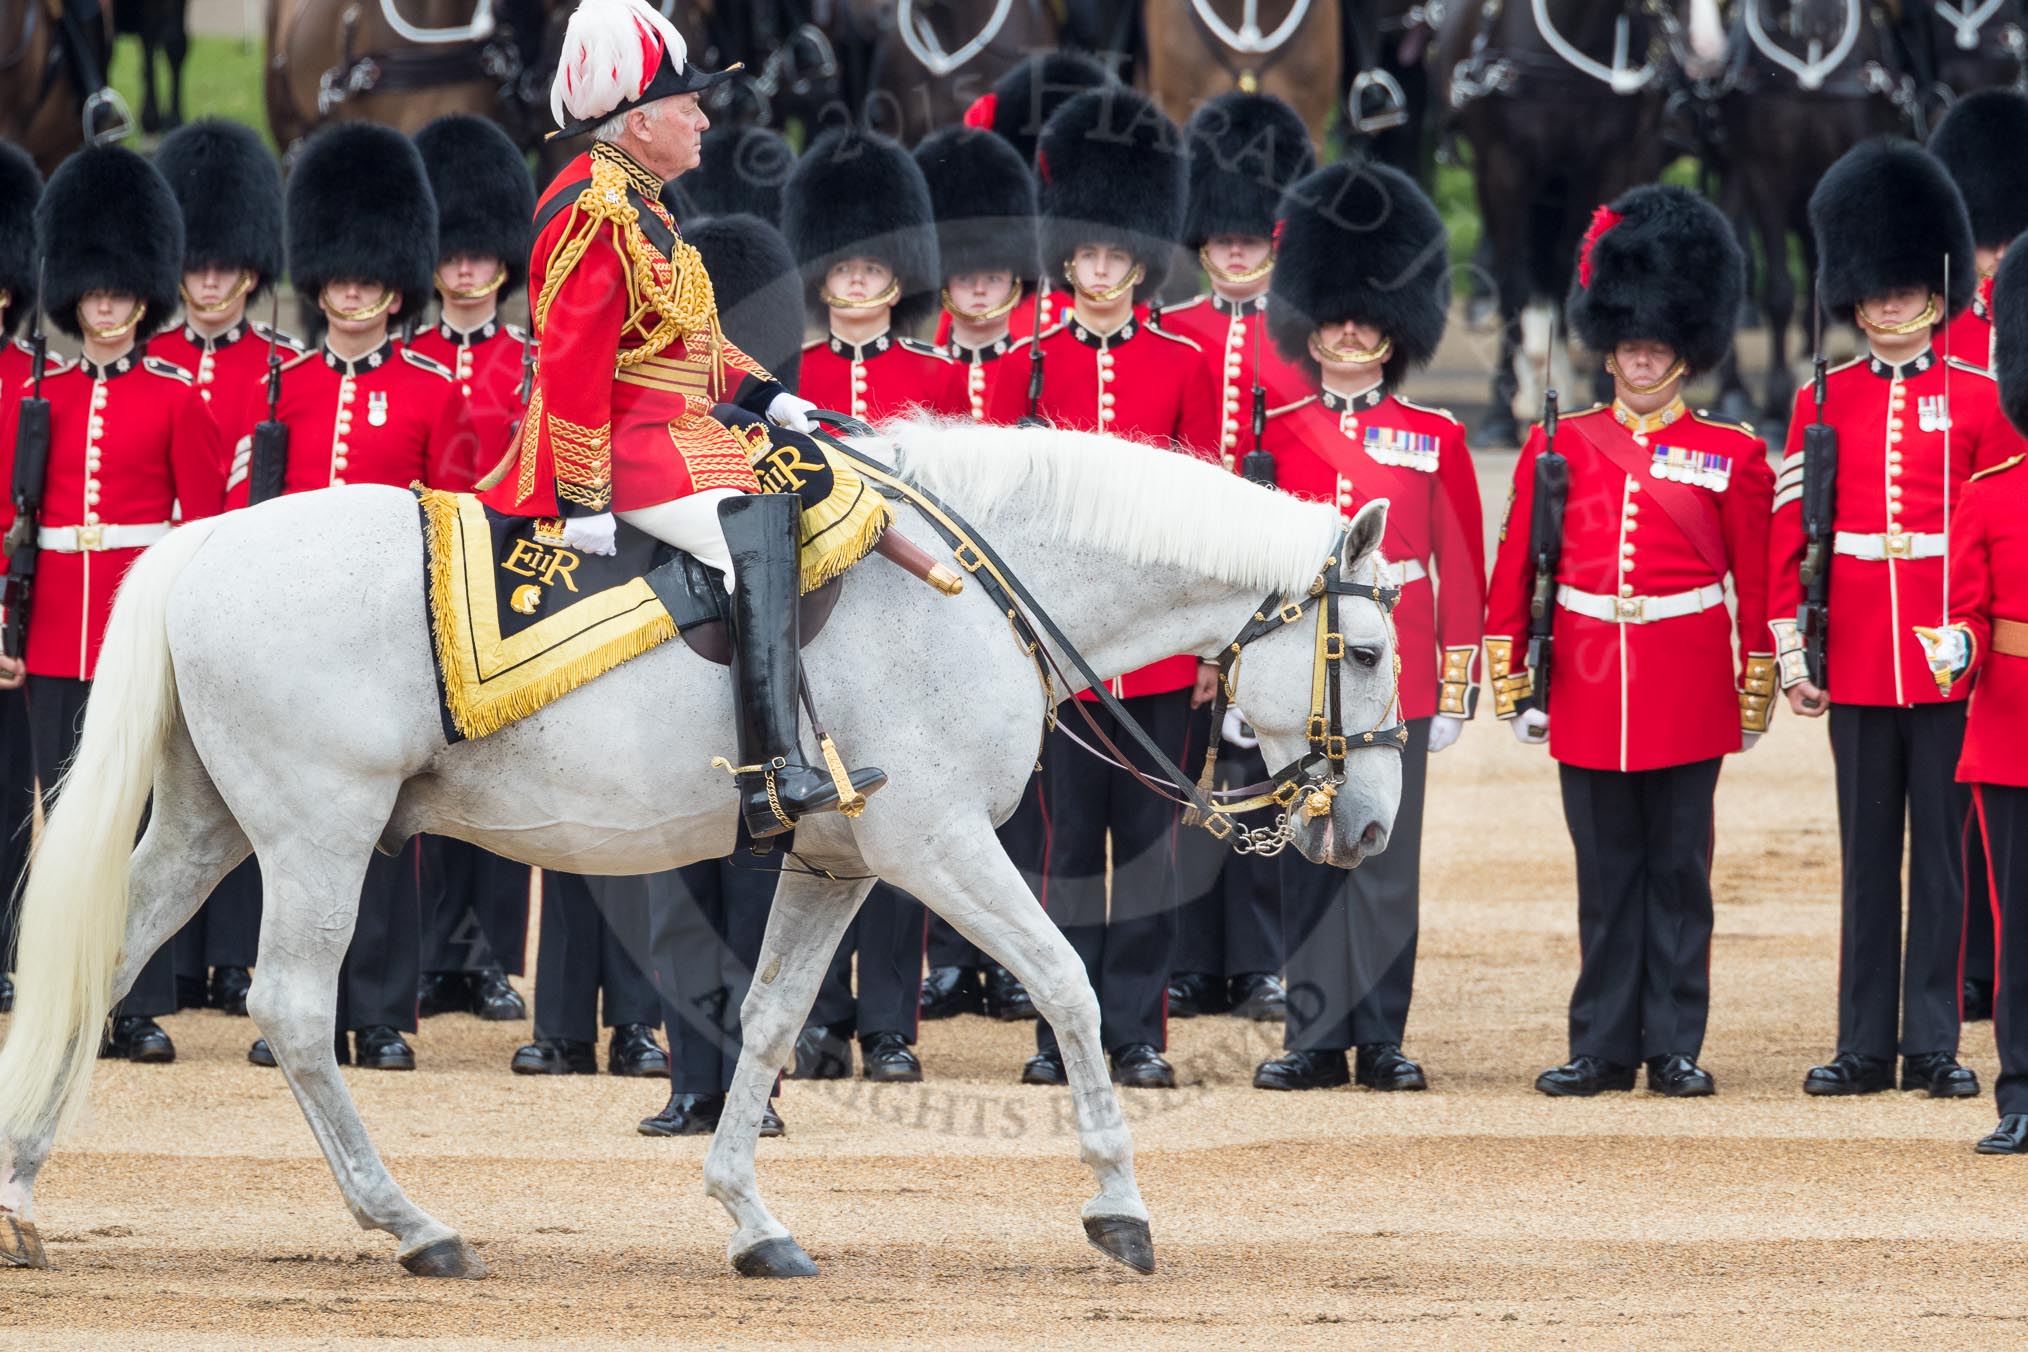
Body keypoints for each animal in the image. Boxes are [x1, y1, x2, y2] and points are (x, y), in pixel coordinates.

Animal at [0, 423, 1404, 1280]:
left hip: (212, 823)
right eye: (1375, 648)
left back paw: (17, 1192)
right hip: (317, 828)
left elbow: (775, 1016)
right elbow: (1065, 981)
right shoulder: (937, 842)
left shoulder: (838, 859)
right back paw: (410, 1221)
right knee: (292, 1007)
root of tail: (201, 539)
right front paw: (1119, 1203)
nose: (1377, 827)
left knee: (100, 967)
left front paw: (750, 1215)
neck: (963, 591)